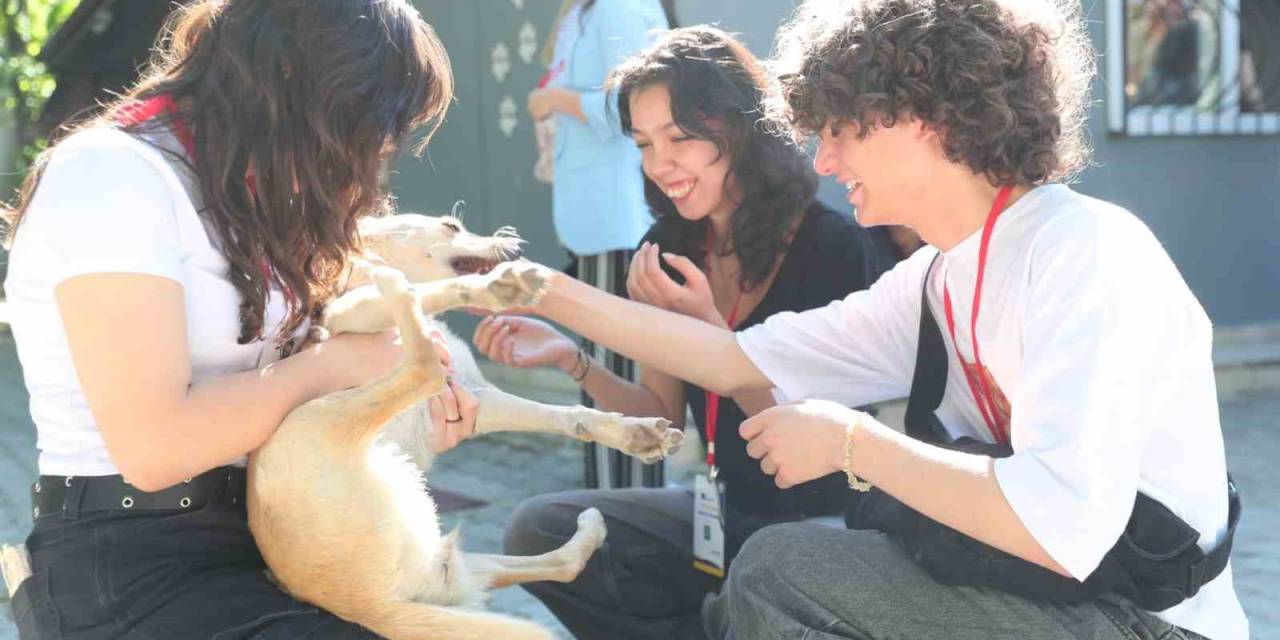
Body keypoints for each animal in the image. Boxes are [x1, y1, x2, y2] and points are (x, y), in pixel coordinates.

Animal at [241, 216, 680, 640]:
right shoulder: (347, 314)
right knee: (422, 364)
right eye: (451, 226)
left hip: (462, 568)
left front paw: (635, 434)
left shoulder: (478, 397)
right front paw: (496, 286)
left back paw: (590, 529)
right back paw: (398, 286)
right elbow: (431, 290)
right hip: (315, 417)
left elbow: (567, 415)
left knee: (565, 565)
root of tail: (369, 606)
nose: (513, 243)